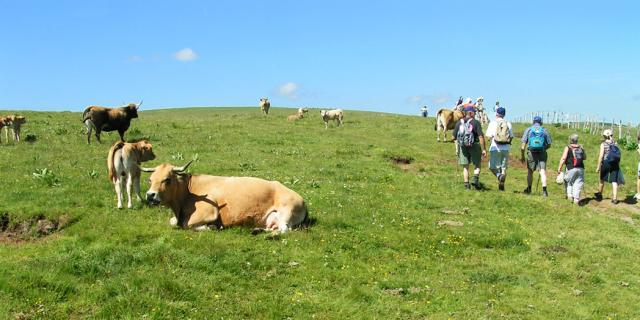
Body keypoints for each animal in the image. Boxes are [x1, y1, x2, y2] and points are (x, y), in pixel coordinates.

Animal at [144, 161, 308, 234]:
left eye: (167, 179)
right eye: (150, 180)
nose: (150, 195)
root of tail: (302, 199)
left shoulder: (208, 211)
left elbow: (187, 224)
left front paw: (211, 226)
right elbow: (172, 222)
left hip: (287, 211)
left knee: (284, 229)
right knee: (275, 227)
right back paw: (257, 230)